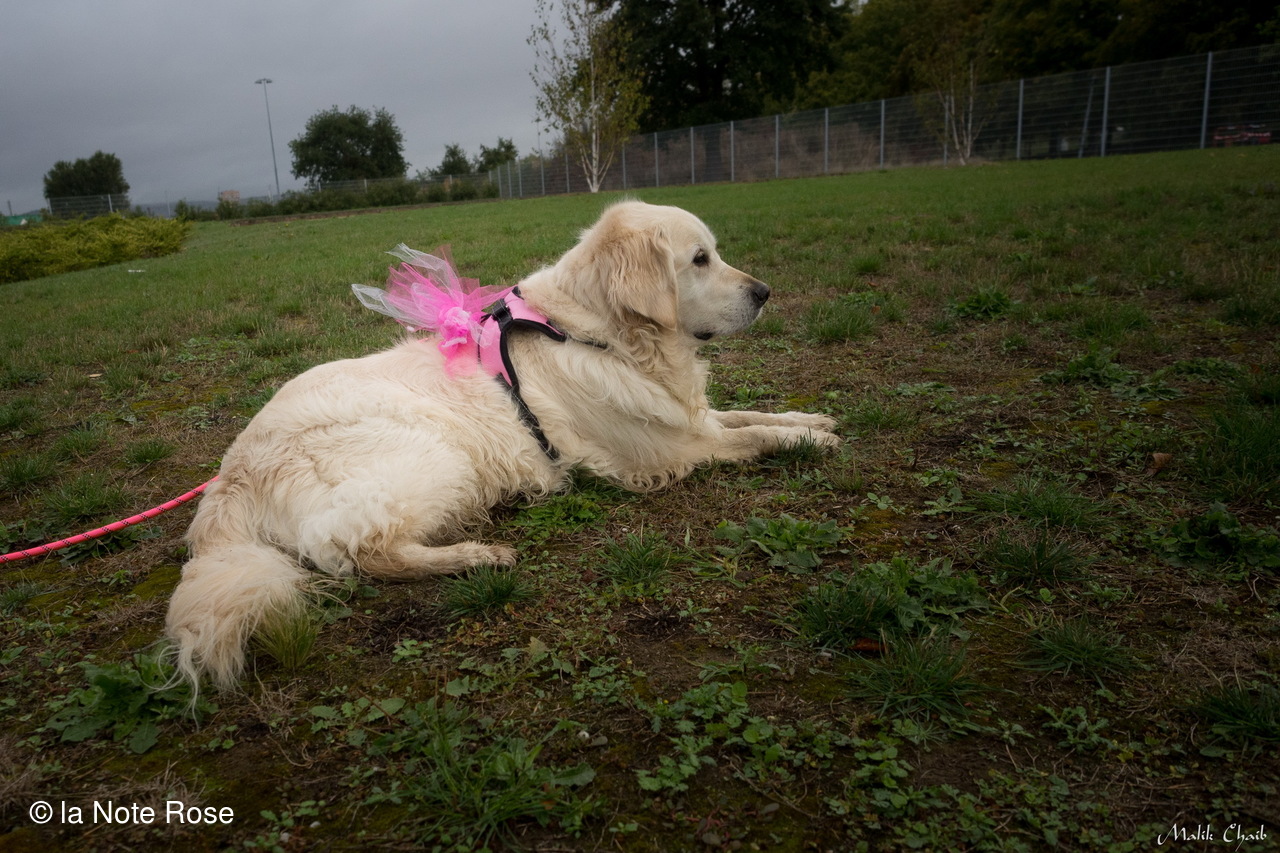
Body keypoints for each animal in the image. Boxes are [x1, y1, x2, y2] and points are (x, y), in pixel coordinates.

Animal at [165, 200, 840, 694]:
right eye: (699, 259)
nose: (765, 291)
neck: (600, 333)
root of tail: (231, 474)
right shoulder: (665, 449)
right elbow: (748, 435)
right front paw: (806, 439)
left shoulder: (683, 419)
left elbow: (745, 414)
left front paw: (810, 418)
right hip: (435, 455)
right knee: (357, 552)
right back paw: (479, 554)